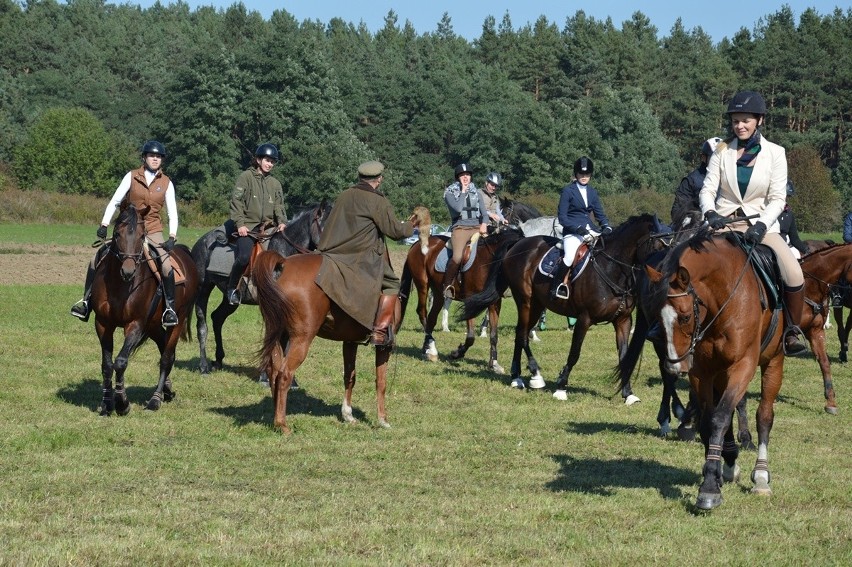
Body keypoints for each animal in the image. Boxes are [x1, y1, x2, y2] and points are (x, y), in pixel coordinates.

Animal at [90, 205, 201, 418]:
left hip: (177, 320)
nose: (128, 271)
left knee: (166, 358)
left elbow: (120, 361)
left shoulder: (135, 324)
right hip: (153, 326)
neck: (120, 285)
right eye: (117, 234)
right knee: (164, 348)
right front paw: (107, 403)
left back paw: (155, 400)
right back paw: (167, 390)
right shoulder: (103, 324)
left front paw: (122, 403)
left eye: (142, 236)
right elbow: (107, 365)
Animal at [191, 202, 332, 374]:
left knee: (217, 318)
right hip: (203, 289)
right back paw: (204, 366)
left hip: (230, 299)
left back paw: (218, 360)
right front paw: (265, 376)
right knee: (202, 324)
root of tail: (201, 242)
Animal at [400, 226, 524, 372]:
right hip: (422, 284)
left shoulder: (494, 303)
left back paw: (428, 348)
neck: (488, 262)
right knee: (422, 312)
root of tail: (416, 244)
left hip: (438, 292)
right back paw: (431, 348)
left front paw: (494, 364)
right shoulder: (470, 299)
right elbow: (470, 337)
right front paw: (456, 354)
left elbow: (494, 335)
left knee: (431, 318)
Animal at [462, 212, 664, 400]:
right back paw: (534, 375)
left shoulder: (623, 320)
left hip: (536, 305)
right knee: (522, 335)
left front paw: (628, 393)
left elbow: (624, 356)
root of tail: (519, 243)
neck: (613, 270)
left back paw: (516, 377)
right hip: (526, 302)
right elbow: (574, 353)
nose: (662, 279)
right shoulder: (584, 318)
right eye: (658, 245)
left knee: (521, 335)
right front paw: (561, 387)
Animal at [620, 229, 784, 512]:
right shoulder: (703, 372)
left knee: (764, 415)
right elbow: (710, 421)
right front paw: (715, 474)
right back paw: (728, 462)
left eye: (685, 317)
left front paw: (710, 489)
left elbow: (720, 418)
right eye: (656, 314)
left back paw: (761, 476)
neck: (722, 302)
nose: (675, 365)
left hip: (774, 361)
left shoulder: (742, 366)